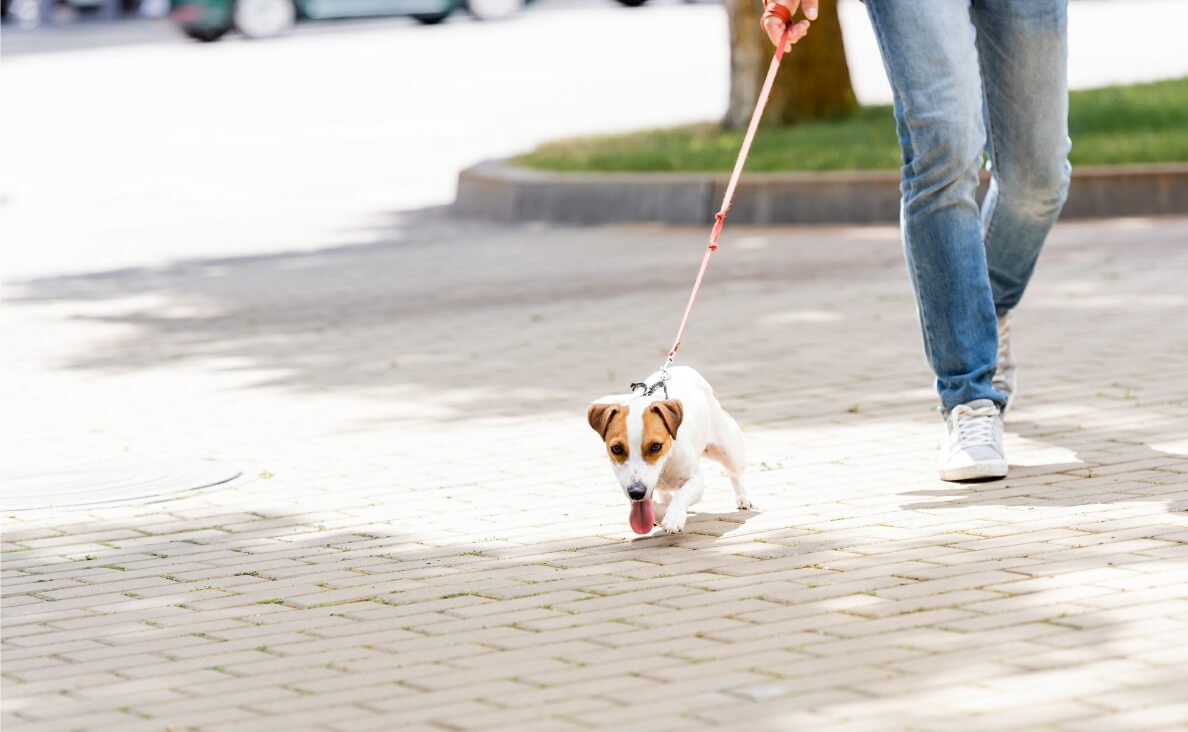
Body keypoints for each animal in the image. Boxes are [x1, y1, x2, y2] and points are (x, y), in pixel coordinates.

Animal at [586, 363, 750, 532]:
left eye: (656, 446)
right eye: (616, 448)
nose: (637, 492)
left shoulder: (696, 481)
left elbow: (681, 495)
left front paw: (674, 516)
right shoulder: (630, 488)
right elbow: (653, 507)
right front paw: (663, 511)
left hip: (732, 453)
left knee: (734, 473)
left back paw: (743, 498)